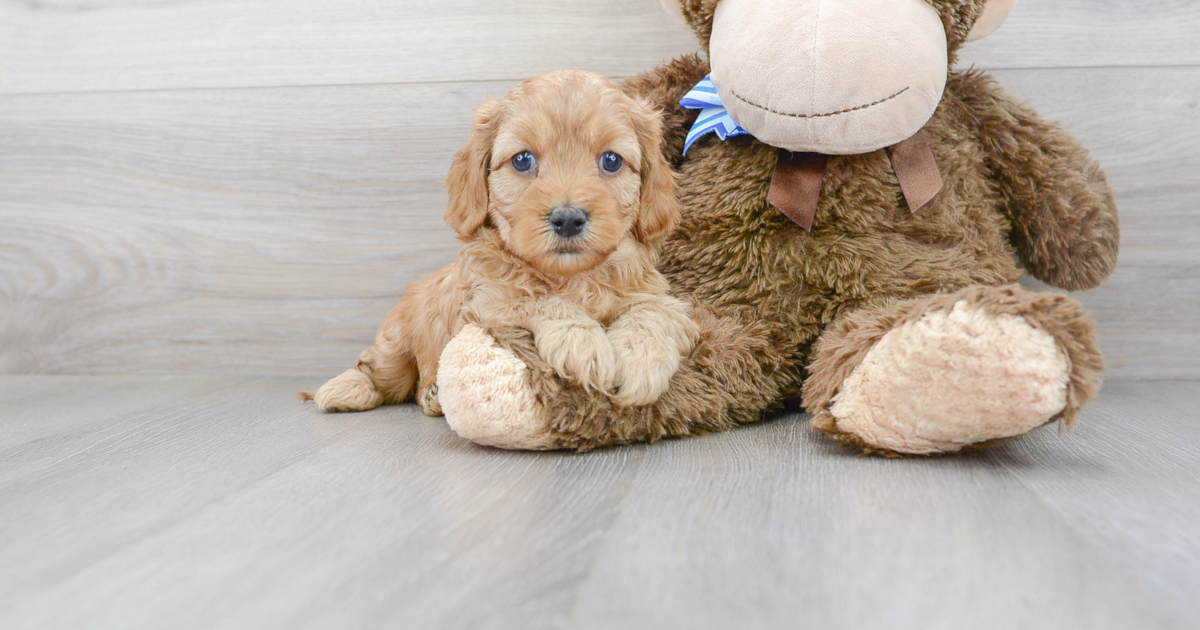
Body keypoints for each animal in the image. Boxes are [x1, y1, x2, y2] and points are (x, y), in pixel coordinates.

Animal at [309, 69, 700, 412]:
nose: (568, 219)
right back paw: (345, 390)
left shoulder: (656, 295)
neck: (573, 278)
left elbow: (653, 312)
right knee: (379, 370)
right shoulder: (486, 304)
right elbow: (536, 298)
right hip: (396, 338)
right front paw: (582, 342)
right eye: (523, 160)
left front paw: (641, 362)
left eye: (611, 161)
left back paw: (433, 397)